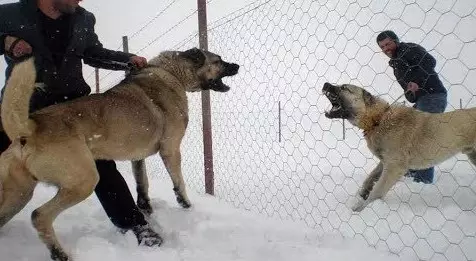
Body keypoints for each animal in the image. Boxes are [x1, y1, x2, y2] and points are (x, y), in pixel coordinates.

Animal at [320, 82, 476, 212]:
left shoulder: (394, 168)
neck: (379, 119)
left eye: (344, 88)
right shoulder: (386, 162)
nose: (325, 84)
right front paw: (362, 194)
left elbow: (377, 190)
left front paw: (360, 209)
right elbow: (370, 179)